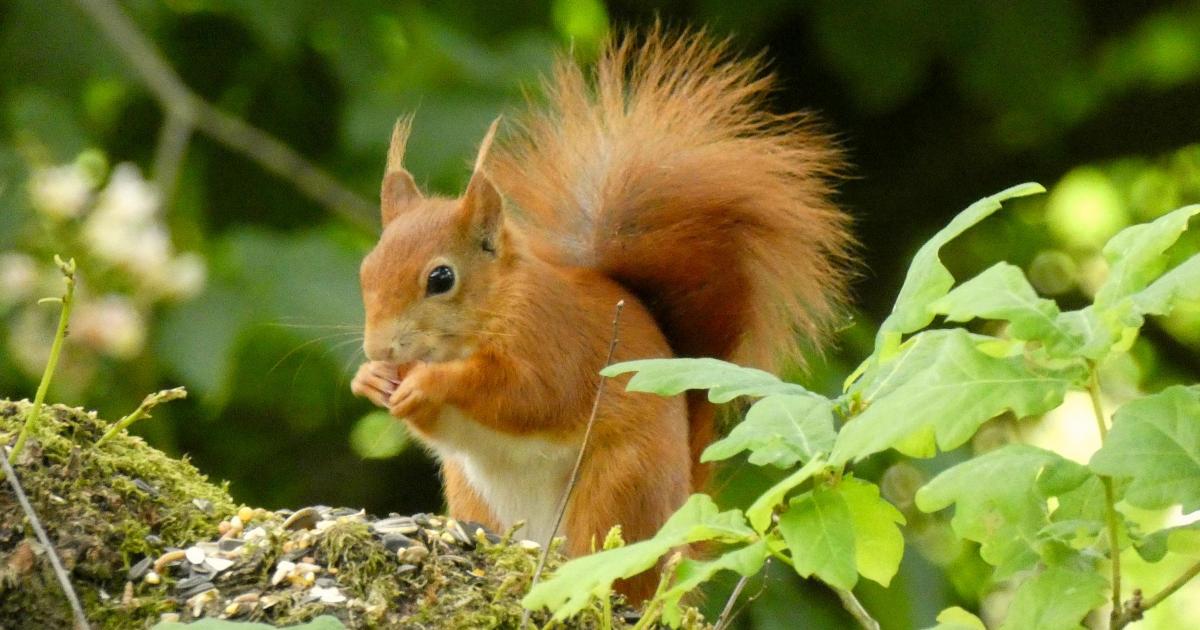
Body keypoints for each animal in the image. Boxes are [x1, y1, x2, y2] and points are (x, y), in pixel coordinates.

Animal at [350, 29, 852, 603]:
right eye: (366, 268)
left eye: (441, 278)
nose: (379, 348)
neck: (494, 308)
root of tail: (678, 540)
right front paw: (371, 380)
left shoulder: (551, 340)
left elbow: (526, 396)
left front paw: (429, 382)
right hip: (476, 495)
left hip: (617, 488)